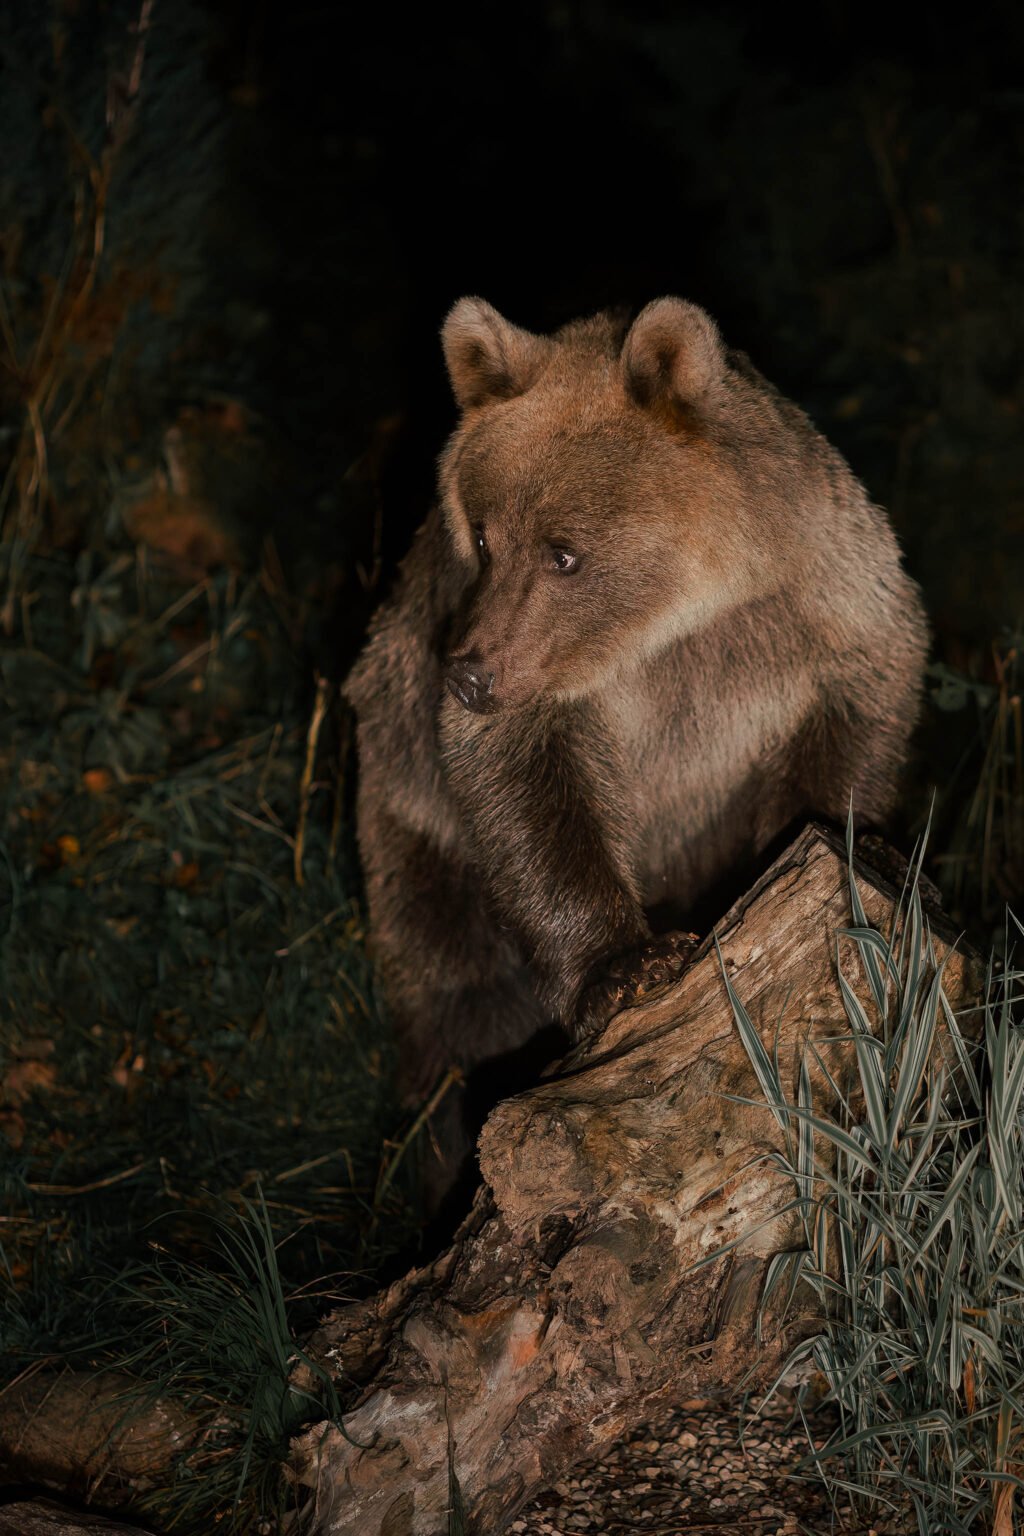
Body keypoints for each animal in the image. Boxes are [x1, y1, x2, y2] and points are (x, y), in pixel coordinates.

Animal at [344, 295, 928, 1198]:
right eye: (483, 535)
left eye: (565, 551)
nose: (472, 675)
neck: (675, 629)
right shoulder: (548, 694)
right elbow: (533, 798)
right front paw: (626, 968)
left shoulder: (822, 608)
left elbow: (859, 715)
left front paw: (865, 849)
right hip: (411, 826)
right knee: (453, 981)